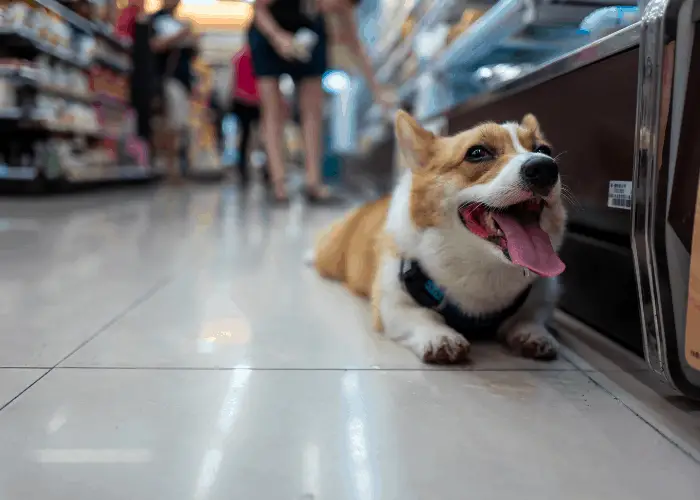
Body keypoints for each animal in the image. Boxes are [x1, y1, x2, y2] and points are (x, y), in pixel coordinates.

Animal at [312, 112, 568, 364]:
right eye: (477, 152)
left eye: (544, 150)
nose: (545, 167)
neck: (482, 263)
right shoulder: (391, 299)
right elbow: (420, 314)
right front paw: (441, 337)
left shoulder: (542, 295)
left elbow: (531, 316)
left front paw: (533, 334)